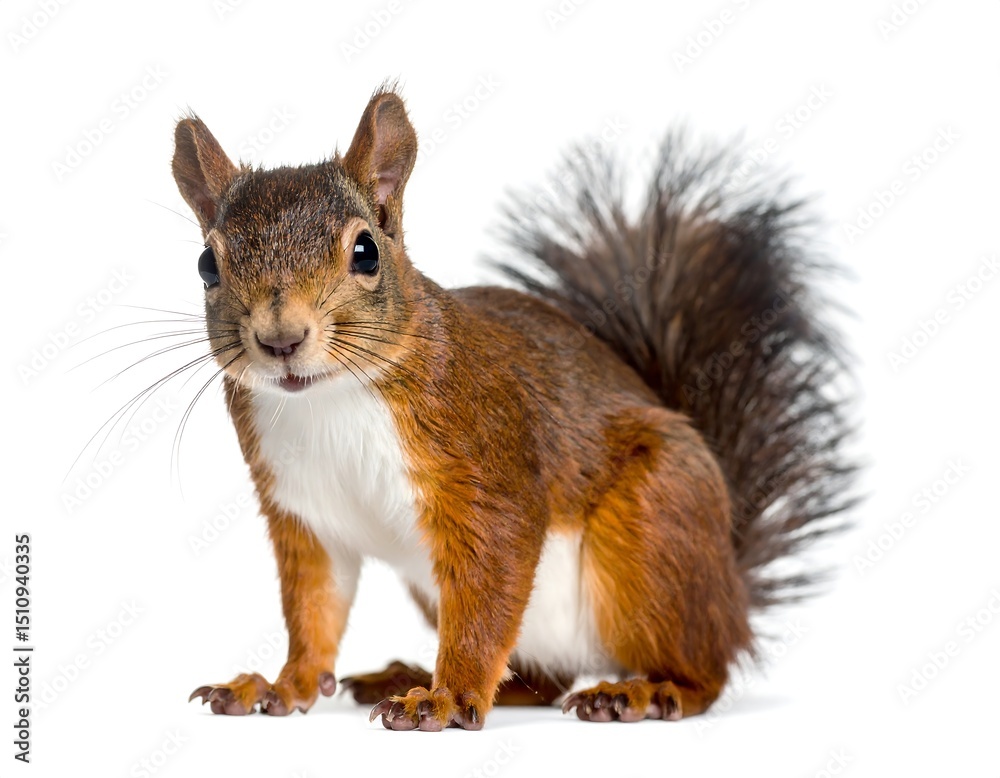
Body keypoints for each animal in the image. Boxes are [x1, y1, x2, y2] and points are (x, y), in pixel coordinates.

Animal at [175, 84, 854, 730]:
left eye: (365, 252)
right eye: (207, 264)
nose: (281, 340)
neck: (329, 399)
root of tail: (730, 589)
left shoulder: (486, 466)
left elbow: (490, 583)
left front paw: (446, 699)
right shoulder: (304, 512)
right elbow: (315, 608)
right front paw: (278, 686)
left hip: (654, 527)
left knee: (705, 670)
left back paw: (644, 691)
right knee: (542, 679)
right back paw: (414, 674)